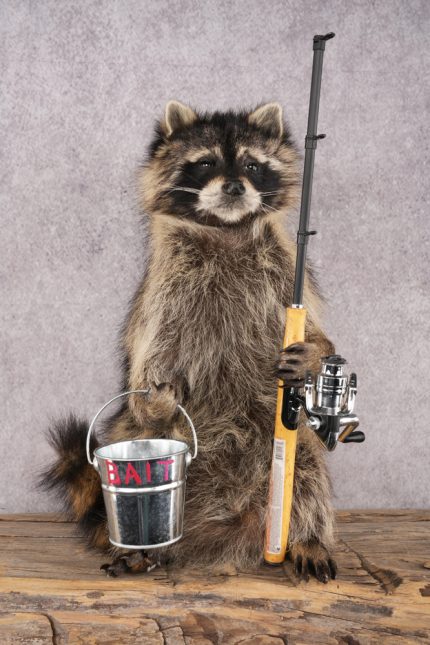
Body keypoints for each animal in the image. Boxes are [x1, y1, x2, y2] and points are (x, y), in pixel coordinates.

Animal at [39, 101, 337, 583]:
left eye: (252, 165)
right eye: (206, 163)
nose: (234, 185)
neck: (226, 229)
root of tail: (227, 523)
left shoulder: (285, 273)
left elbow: (315, 332)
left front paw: (317, 352)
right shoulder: (164, 293)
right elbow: (147, 363)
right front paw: (155, 397)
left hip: (284, 453)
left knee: (308, 471)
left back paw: (309, 536)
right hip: (136, 436)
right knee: (145, 429)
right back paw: (148, 549)